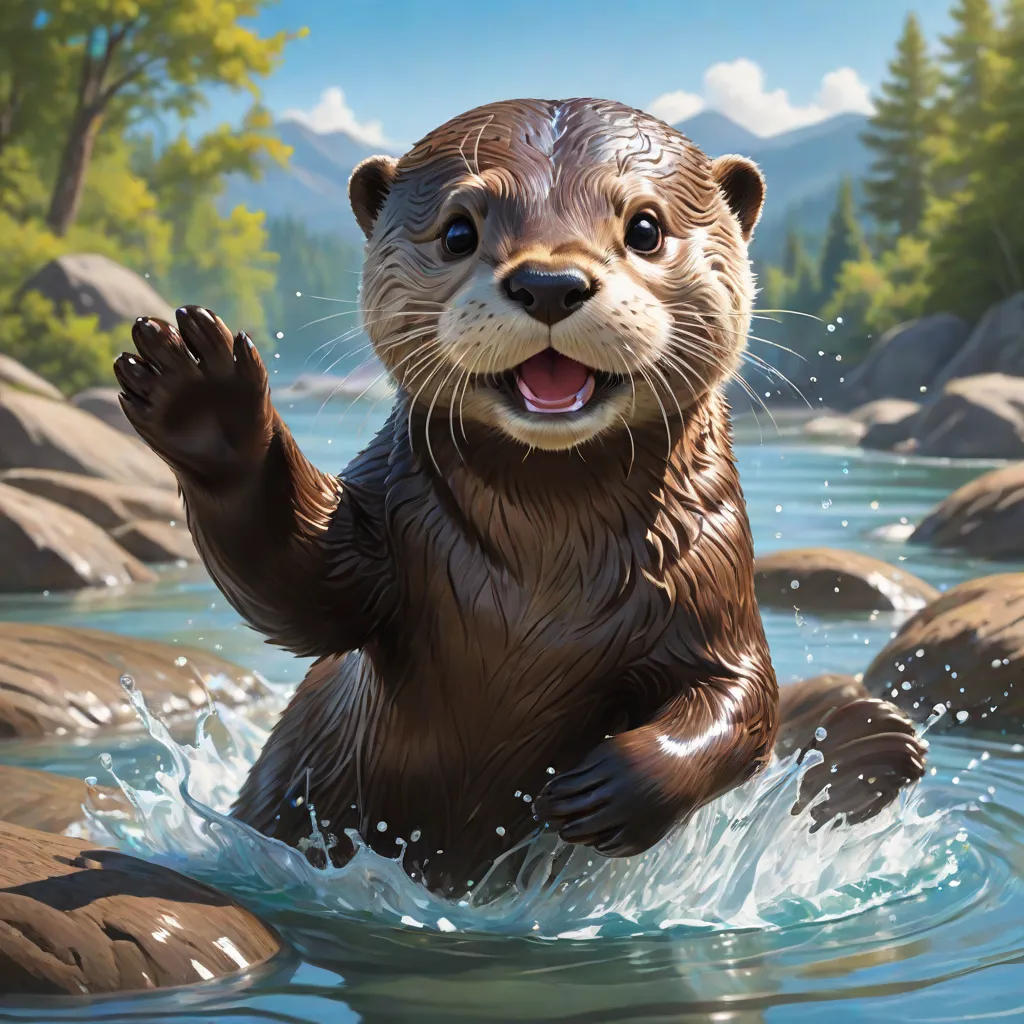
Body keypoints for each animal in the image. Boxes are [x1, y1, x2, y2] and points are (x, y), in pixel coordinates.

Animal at [114, 98, 925, 893]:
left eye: (646, 227)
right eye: (458, 230)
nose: (550, 284)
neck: (549, 568)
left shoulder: (714, 570)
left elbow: (743, 697)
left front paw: (603, 792)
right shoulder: (387, 533)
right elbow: (299, 588)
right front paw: (206, 401)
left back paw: (884, 739)